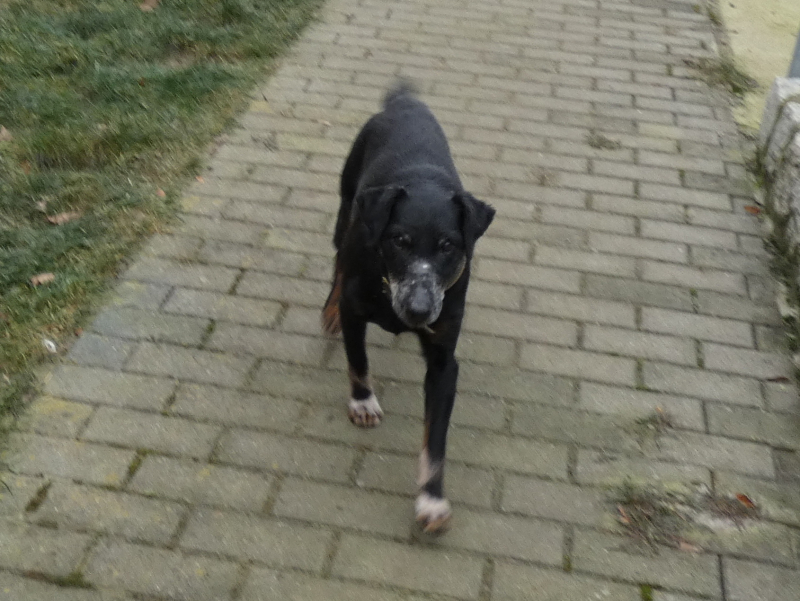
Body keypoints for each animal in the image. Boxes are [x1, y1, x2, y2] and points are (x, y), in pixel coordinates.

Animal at [321, 82, 495, 533]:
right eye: (399, 240)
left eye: (449, 246)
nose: (419, 309)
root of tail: (404, 101)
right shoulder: (356, 311)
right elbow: (358, 360)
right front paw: (363, 402)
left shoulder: (444, 359)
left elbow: (435, 439)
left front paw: (431, 500)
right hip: (347, 206)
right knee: (336, 260)